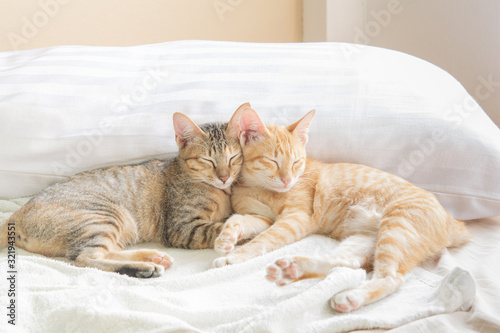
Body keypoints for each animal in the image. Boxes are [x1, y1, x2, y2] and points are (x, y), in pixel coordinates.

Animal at [0, 103, 247, 278]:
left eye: (233, 157)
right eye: (207, 160)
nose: (224, 177)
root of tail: (16, 214)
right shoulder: (182, 228)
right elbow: (222, 226)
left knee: (103, 252)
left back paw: (153, 257)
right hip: (104, 217)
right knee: (85, 258)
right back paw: (144, 268)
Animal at [213, 106, 470, 312]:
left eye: (296, 162)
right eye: (272, 161)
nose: (287, 180)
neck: (259, 188)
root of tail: (453, 221)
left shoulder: (297, 218)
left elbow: (265, 239)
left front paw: (235, 257)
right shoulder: (261, 217)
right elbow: (239, 219)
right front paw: (226, 238)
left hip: (397, 227)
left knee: (391, 278)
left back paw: (351, 295)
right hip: (364, 240)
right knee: (348, 264)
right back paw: (295, 270)